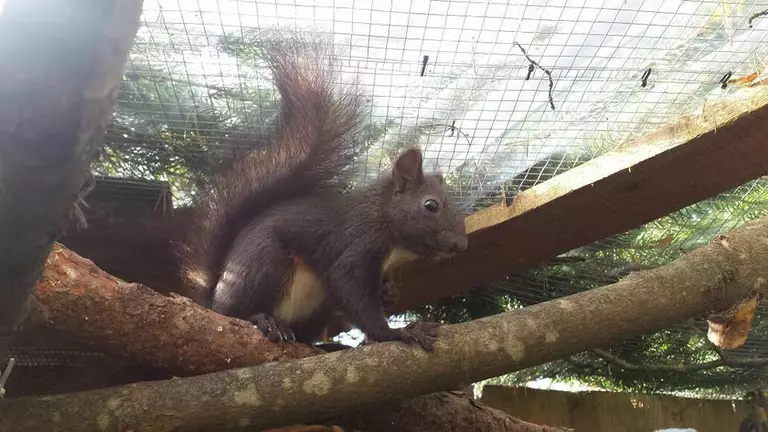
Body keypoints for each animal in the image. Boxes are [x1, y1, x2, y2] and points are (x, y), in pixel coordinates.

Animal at [181, 31, 468, 351]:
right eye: (431, 205)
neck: (385, 221)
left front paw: (389, 293)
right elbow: (351, 291)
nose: (461, 244)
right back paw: (264, 321)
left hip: (317, 307)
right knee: (238, 312)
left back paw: (326, 345)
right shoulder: (357, 242)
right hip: (264, 263)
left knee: (306, 335)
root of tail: (213, 300)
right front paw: (397, 332)